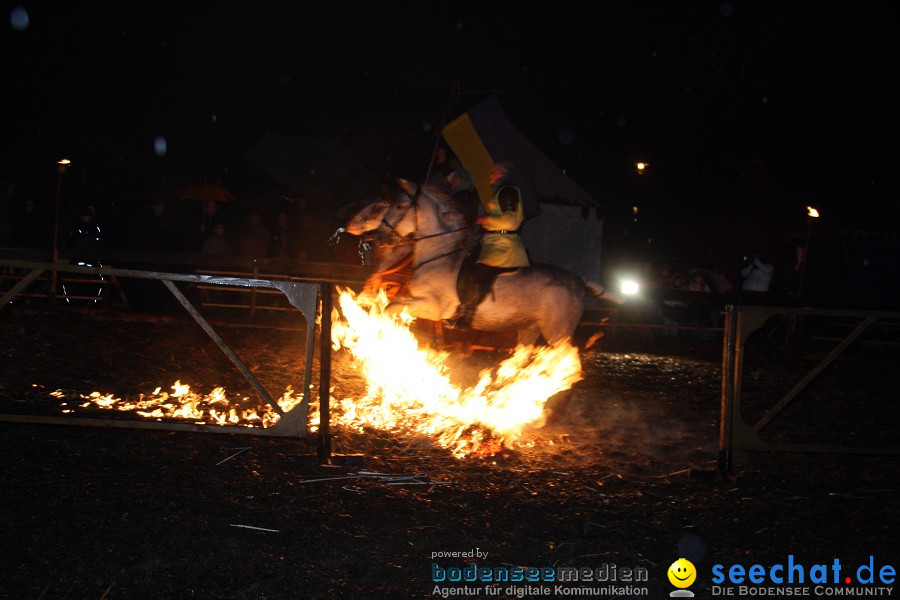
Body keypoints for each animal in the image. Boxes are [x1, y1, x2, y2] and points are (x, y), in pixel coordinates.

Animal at [352, 184, 612, 346]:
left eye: (397, 207)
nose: (381, 237)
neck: (440, 255)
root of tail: (578, 281)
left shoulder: (431, 307)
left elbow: (390, 308)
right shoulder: (415, 299)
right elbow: (391, 305)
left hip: (558, 333)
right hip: (529, 329)